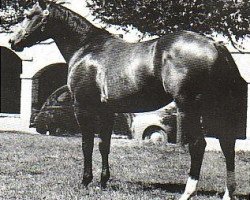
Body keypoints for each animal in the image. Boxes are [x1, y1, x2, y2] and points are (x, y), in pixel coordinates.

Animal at [9, 0, 246, 199]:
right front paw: (103, 182)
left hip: (189, 106)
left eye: (29, 15)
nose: (13, 41)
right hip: (215, 108)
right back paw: (228, 193)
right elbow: (104, 145)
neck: (87, 48)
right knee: (227, 144)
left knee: (198, 145)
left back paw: (187, 192)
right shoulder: (107, 111)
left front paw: (86, 181)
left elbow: (87, 144)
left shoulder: (82, 108)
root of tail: (215, 45)